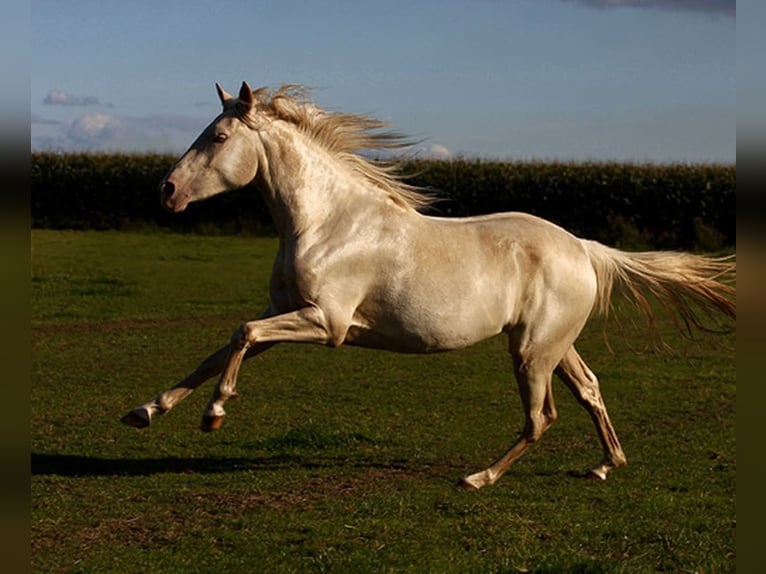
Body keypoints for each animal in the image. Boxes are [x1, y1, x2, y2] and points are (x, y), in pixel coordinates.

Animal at [121, 81, 736, 490]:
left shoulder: (327, 323)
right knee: (589, 390)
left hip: (532, 351)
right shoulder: (288, 312)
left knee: (542, 417)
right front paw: (146, 411)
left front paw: (214, 415)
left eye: (219, 136)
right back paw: (606, 464)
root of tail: (583, 248)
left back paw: (479, 477)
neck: (329, 222)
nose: (166, 191)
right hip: (553, 345)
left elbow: (241, 334)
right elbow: (221, 348)